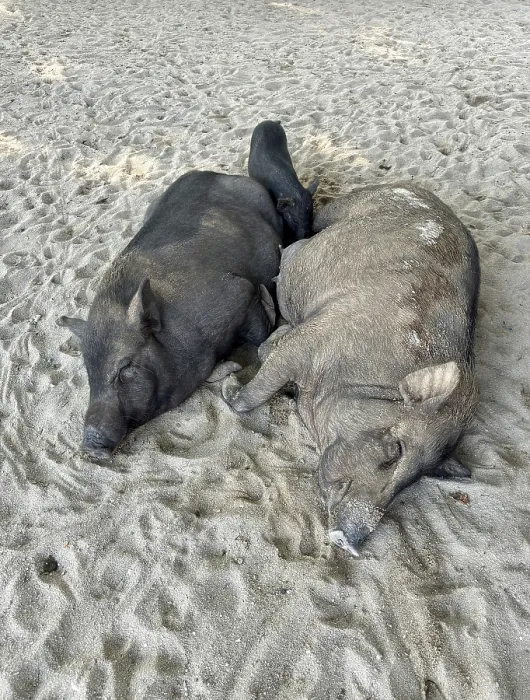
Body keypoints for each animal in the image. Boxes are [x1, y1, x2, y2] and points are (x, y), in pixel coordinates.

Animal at [58, 170, 283, 460]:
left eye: (125, 367)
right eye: (89, 370)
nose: (89, 448)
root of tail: (213, 173)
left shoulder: (240, 292)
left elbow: (259, 335)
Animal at [223, 183, 480, 556]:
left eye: (420, 477)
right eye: (396, 449)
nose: (353, 543)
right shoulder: (309, 339)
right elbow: (257, 387)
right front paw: (229, 385)